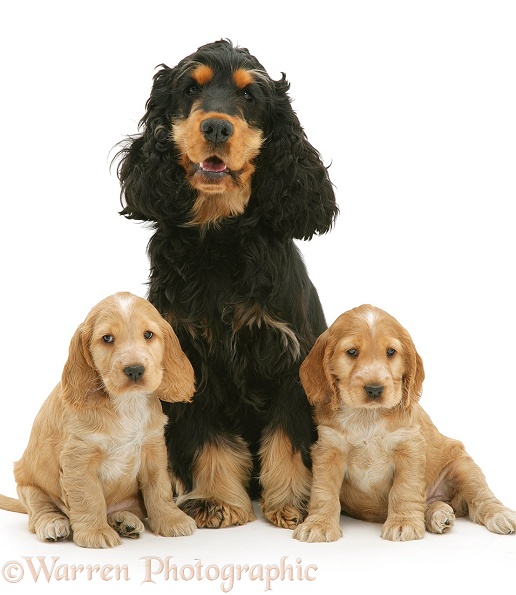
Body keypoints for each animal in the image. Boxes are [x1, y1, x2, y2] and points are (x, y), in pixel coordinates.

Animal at [0, 294, 197, 548]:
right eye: (107, 338)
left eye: (148, 335)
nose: (135, 370)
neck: (126, 403)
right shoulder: (79, 458)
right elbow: (89, 497)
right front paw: (95, 533)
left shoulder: (153, 449)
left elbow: (159, 488)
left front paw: (172, 520)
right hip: (29, 487)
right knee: (40, 512)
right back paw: (54, 524)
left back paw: (124, 520)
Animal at [116, 39, 338, 528]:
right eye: (189, 89)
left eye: (249, 96)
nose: (216, 126)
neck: (221, 240)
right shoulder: (191, 361)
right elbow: (208, 439)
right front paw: (215, 500)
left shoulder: (289, 359)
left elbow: (288, 436)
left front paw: (292, 503)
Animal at [294, 304, 516, 544]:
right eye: (352, 352)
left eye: (391, 352)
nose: (374, 389)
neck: (367, 417)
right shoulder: (329, 450)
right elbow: (324, 491)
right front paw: (319, 524)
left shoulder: (409, 448)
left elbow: (404, 489)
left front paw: (403, 523)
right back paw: (439, 515)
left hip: (463, 467)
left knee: (481, 498)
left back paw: (501, 516)